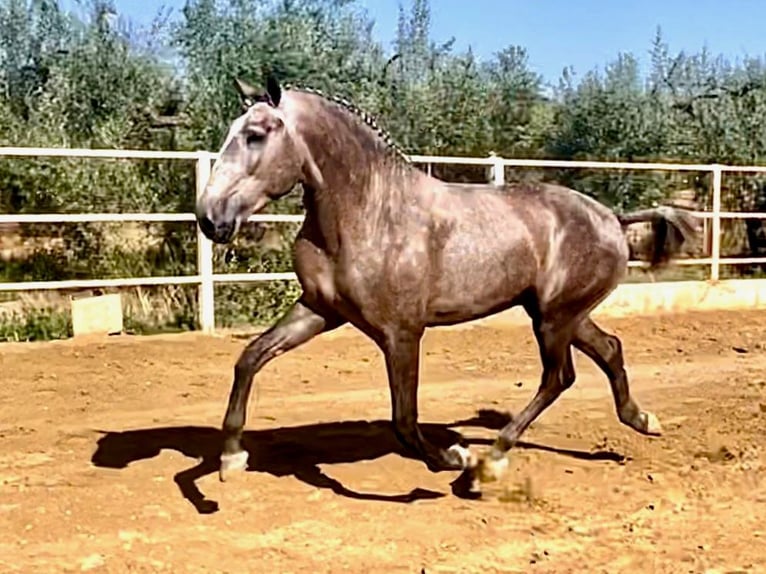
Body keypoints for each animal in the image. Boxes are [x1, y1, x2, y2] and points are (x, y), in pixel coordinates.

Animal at [194, 76, 704, 498]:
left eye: (256, 135)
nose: (210, 217)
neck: (369, 212)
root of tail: (613, 218)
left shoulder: (401, 333)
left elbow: (404, 419)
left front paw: (453, 458)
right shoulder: (320, 310)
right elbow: (250, 357)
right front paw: (231, 459)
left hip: (555, 319)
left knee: (558, 377)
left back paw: (486, 465)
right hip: (558, 314)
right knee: (609, 349)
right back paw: (643, 421)